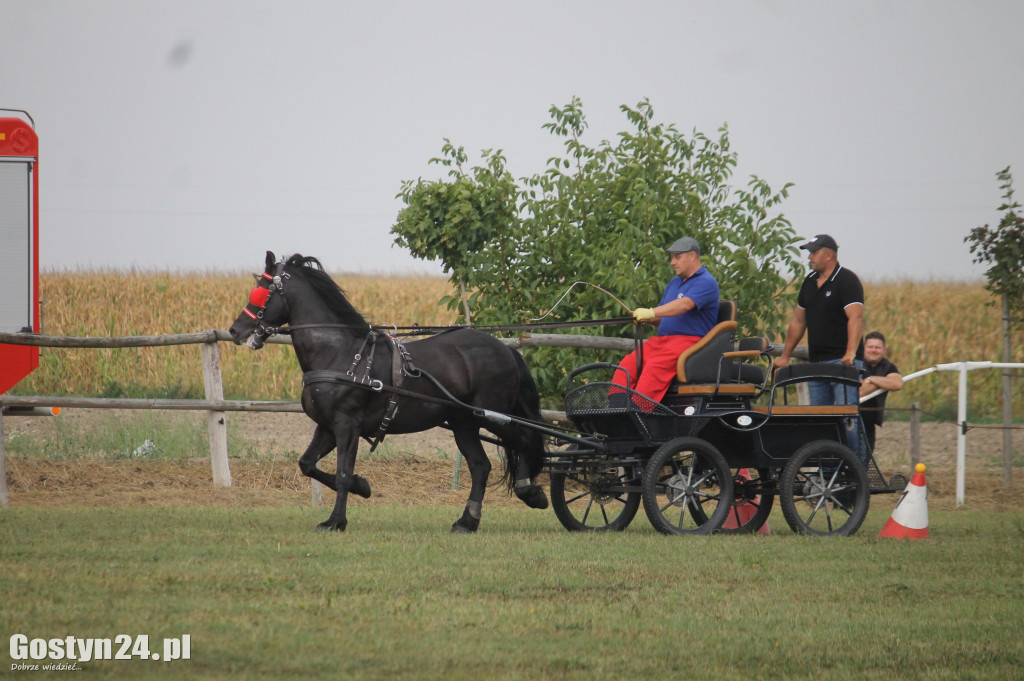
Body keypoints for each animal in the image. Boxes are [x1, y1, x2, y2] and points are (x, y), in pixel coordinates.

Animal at [228, 249, 548, 532]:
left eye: (261, 292)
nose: (234, 330)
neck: (341, 352)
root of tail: (506, 350)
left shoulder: (347, 425)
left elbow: (342, 472)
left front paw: (336, 521)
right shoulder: (327, 426)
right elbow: (307, 464)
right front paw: (363, 487)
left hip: (491, 416)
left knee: (525, 439)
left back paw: (530, 492)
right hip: (464, 422)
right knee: (481, 466)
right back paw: (467, 522)